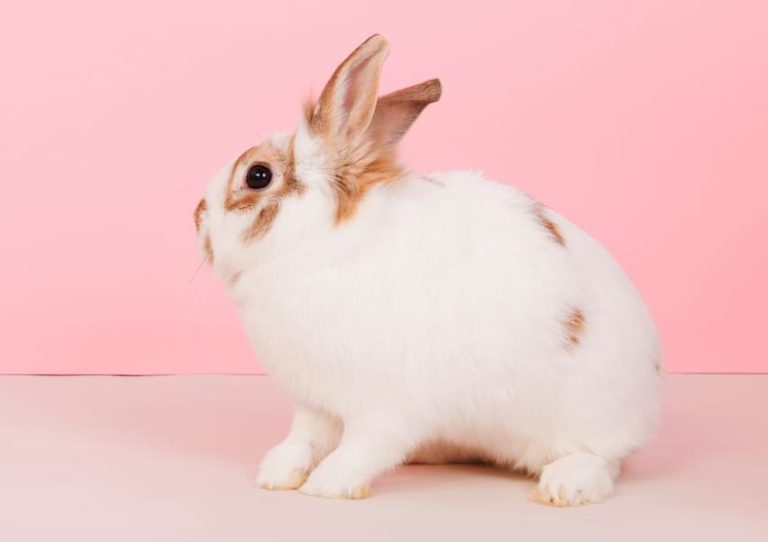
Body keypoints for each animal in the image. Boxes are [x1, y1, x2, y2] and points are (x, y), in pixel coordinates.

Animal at [194, 34, 662, 505]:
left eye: (257, 176)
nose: (197, 218)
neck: (316, 246)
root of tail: (647, 393)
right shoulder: (315, 402)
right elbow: (302, 439)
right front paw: (276, 475)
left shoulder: (385, 405)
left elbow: (363, 446)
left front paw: (330, 485)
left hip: (586, 419)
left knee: (602, 460)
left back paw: (564, 486)